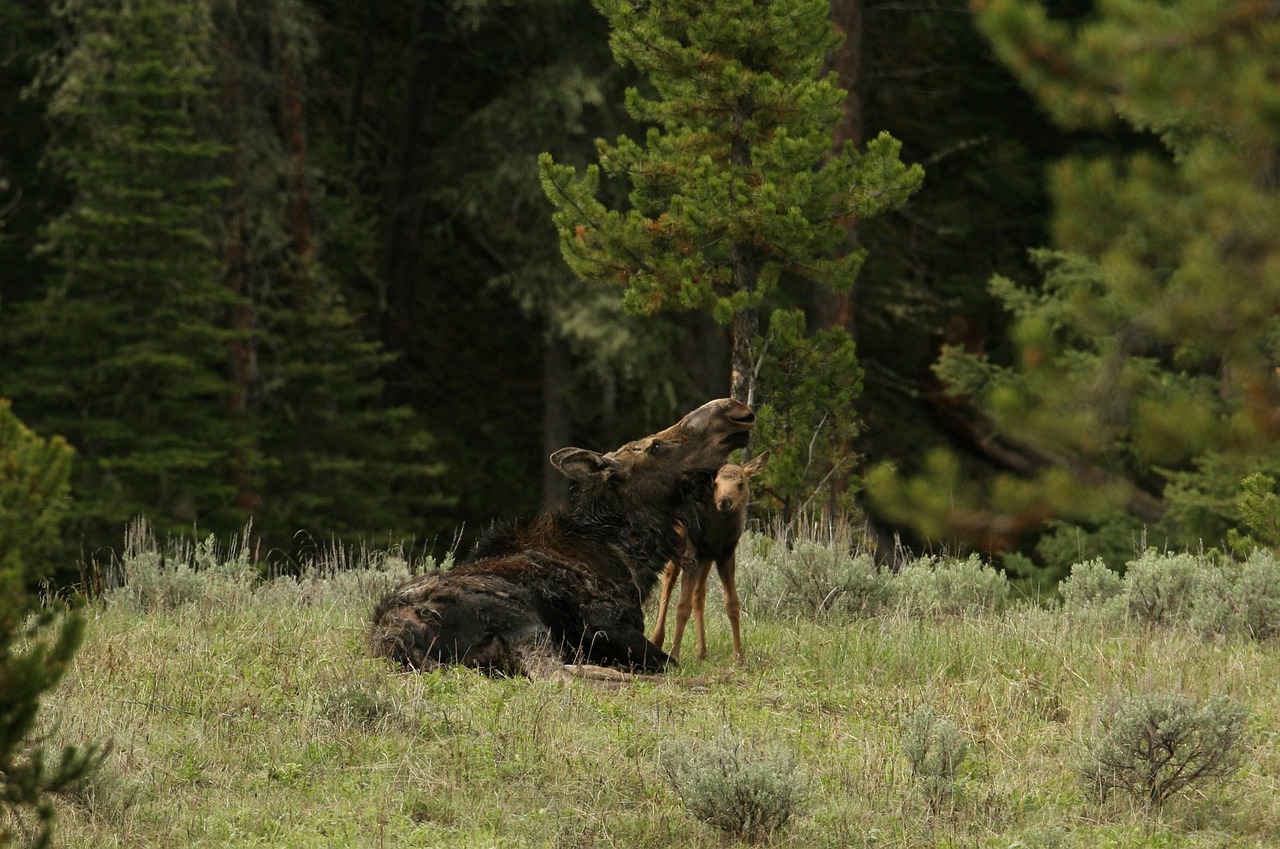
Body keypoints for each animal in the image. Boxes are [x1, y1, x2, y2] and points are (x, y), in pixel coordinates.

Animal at [366, 399, 752, 686]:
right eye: (656, 446)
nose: (732, 411)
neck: (631, 559)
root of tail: (395, 642)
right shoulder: (606, 626)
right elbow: (670, 661)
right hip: (521, 620)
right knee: (561, 676)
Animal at [650, 450, 768, 665]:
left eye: (741, 484)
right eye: (716, 484)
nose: (724, 502)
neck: (717, 533)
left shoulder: (725, 555)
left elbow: (732, 604)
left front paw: (740, 657)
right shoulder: (691, 554)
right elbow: (682, 606)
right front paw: (675, 655)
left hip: (705, 559)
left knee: (699, 594)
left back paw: (702, 652)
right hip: (676, 548)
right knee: (667, 582)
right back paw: (657, 640)